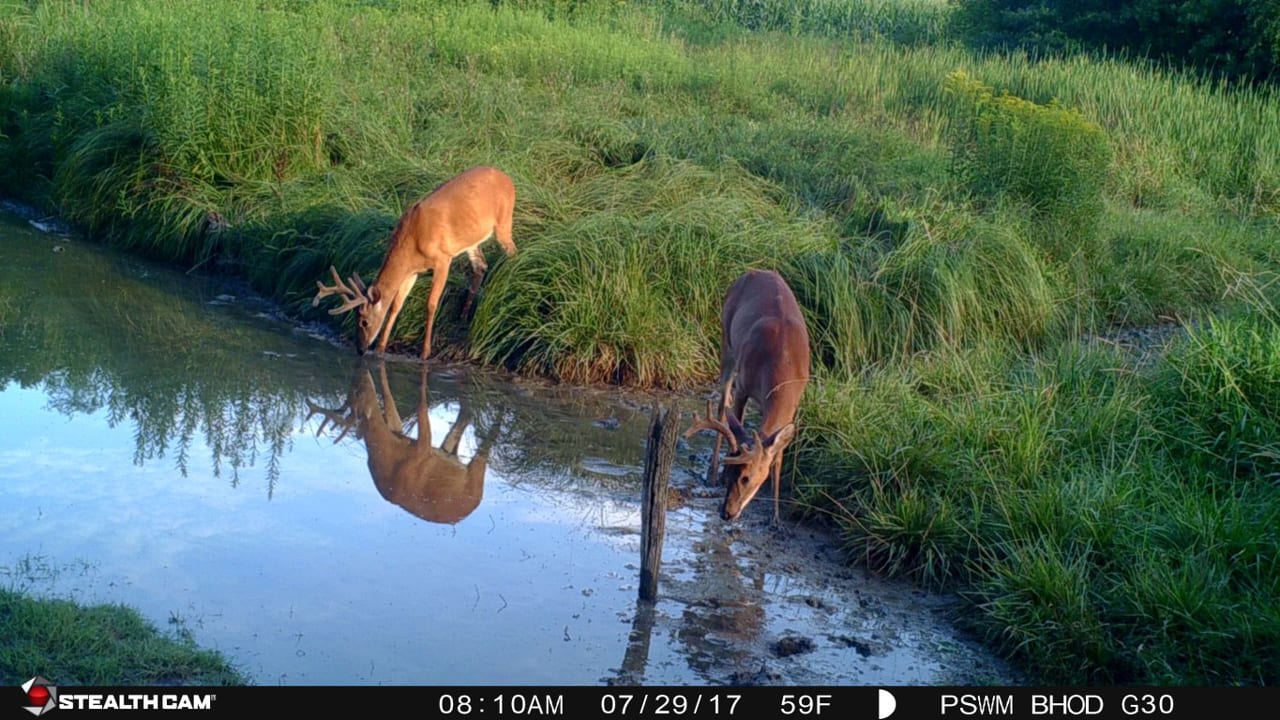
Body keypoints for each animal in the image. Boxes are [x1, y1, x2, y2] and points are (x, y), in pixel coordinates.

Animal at [313, 166, 514, 358]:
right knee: (481, 267)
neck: (413, 240)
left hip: (504, 222)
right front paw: (380, 348)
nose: (360, 349)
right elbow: (396, 305)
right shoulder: (412, 271)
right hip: (473, 241)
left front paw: (425, 352)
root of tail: (508, 179)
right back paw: (463, 317)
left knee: (513, 253)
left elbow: (431, 304)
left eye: (364, 321)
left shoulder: (442, 259)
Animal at [680, 266, 808, 517]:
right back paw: (711, 474)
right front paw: (719, 475)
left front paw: (775, 516)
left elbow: (778, 455)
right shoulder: (744, 385)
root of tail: (755, 270)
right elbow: (735, 423)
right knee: (722, 404)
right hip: (726, 340)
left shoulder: (796, 402)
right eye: (732, 473)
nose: (726, 513)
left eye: (747, 478)